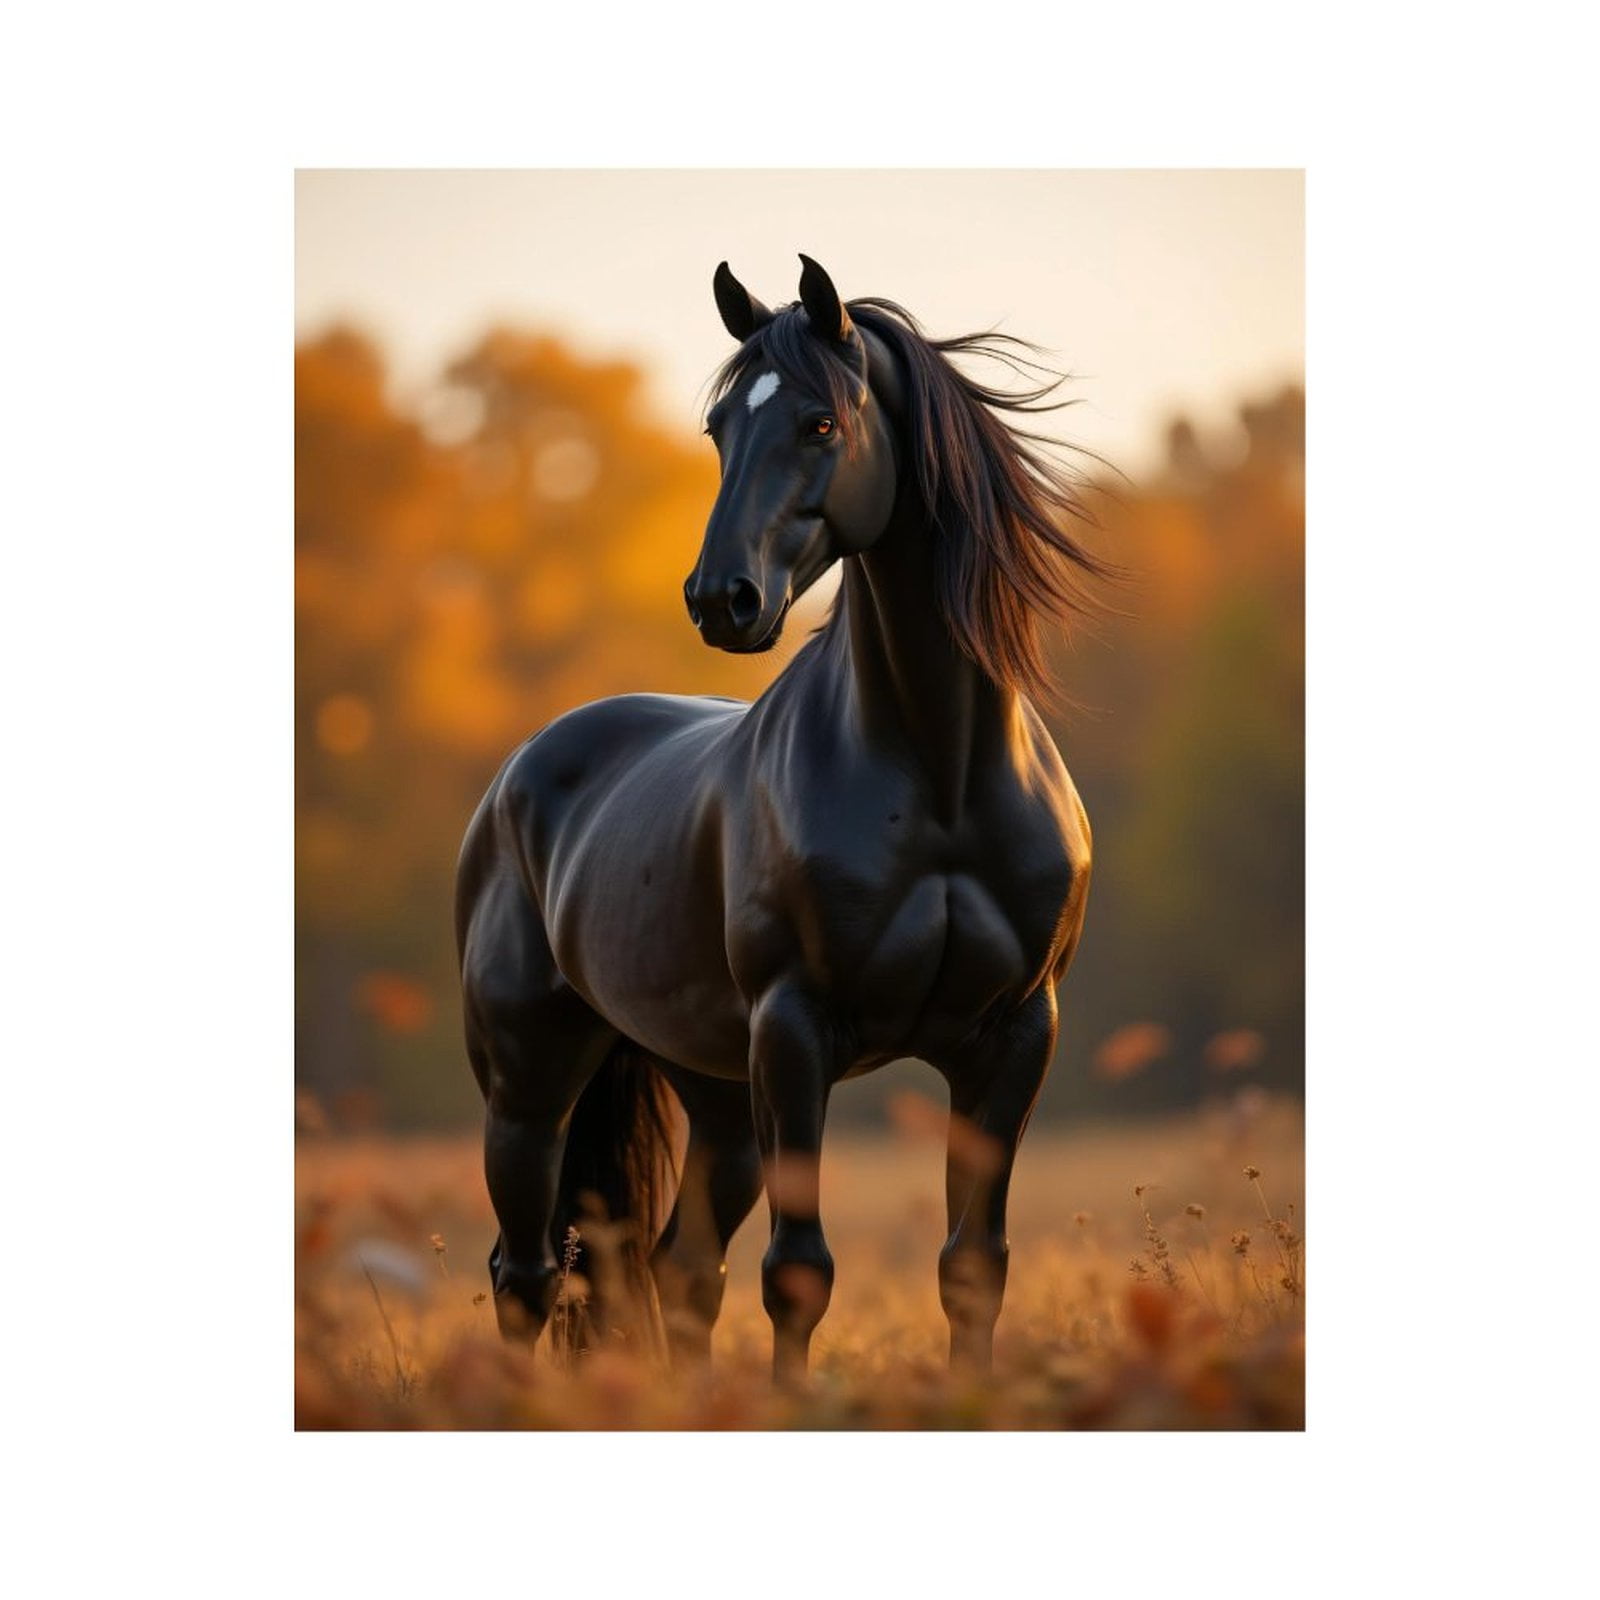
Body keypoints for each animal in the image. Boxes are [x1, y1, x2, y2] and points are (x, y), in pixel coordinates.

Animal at [455, 255, 1112, 1381]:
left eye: (818, 422)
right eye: (718, 427)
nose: (721, 599)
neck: (940, 776)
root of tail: (521, 774)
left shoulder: (1013, 1036)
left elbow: (972, 1264)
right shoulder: (797, 1031)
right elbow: (799, 1271)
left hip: (717, 1093)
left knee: (674, 1271)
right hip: (529, 1084)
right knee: (527, 1274)